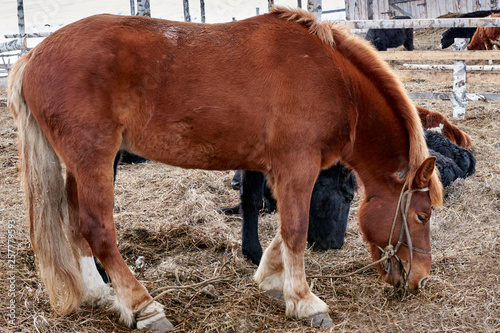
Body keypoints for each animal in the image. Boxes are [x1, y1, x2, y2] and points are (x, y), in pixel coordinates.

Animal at [8, 6, 442, 330]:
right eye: (422, 215)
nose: (420, 277)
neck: (333, 80)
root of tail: (34, 56)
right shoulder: (297, 165)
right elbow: (296, 230)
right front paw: (304, 300)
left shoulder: (282, 170)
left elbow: (281, 230)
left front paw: (270, 278)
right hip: (95, 158)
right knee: (97, 229)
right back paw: (143, 306)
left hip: (79, 165)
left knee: (74, 225)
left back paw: (100, 294)